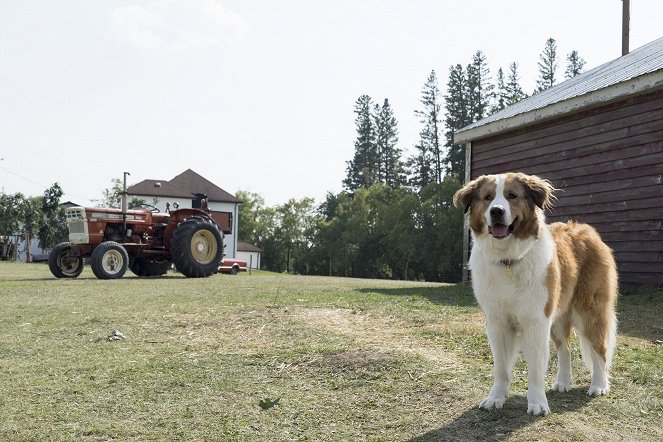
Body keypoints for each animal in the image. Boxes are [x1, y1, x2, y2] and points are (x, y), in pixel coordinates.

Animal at [454, 172, 620, 414]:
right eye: (488, 197)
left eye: (512, 196)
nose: (496, 211)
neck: (509, 260)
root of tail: (587, 230)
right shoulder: (497, 323)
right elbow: (501, 366)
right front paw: (496, 398)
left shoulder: (536, 322)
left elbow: (535, 367)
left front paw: (537, 404)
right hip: (558, 319)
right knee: (565, 350)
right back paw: (563, 383)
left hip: (590, 311)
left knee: (600, 349)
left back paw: (599, 385)